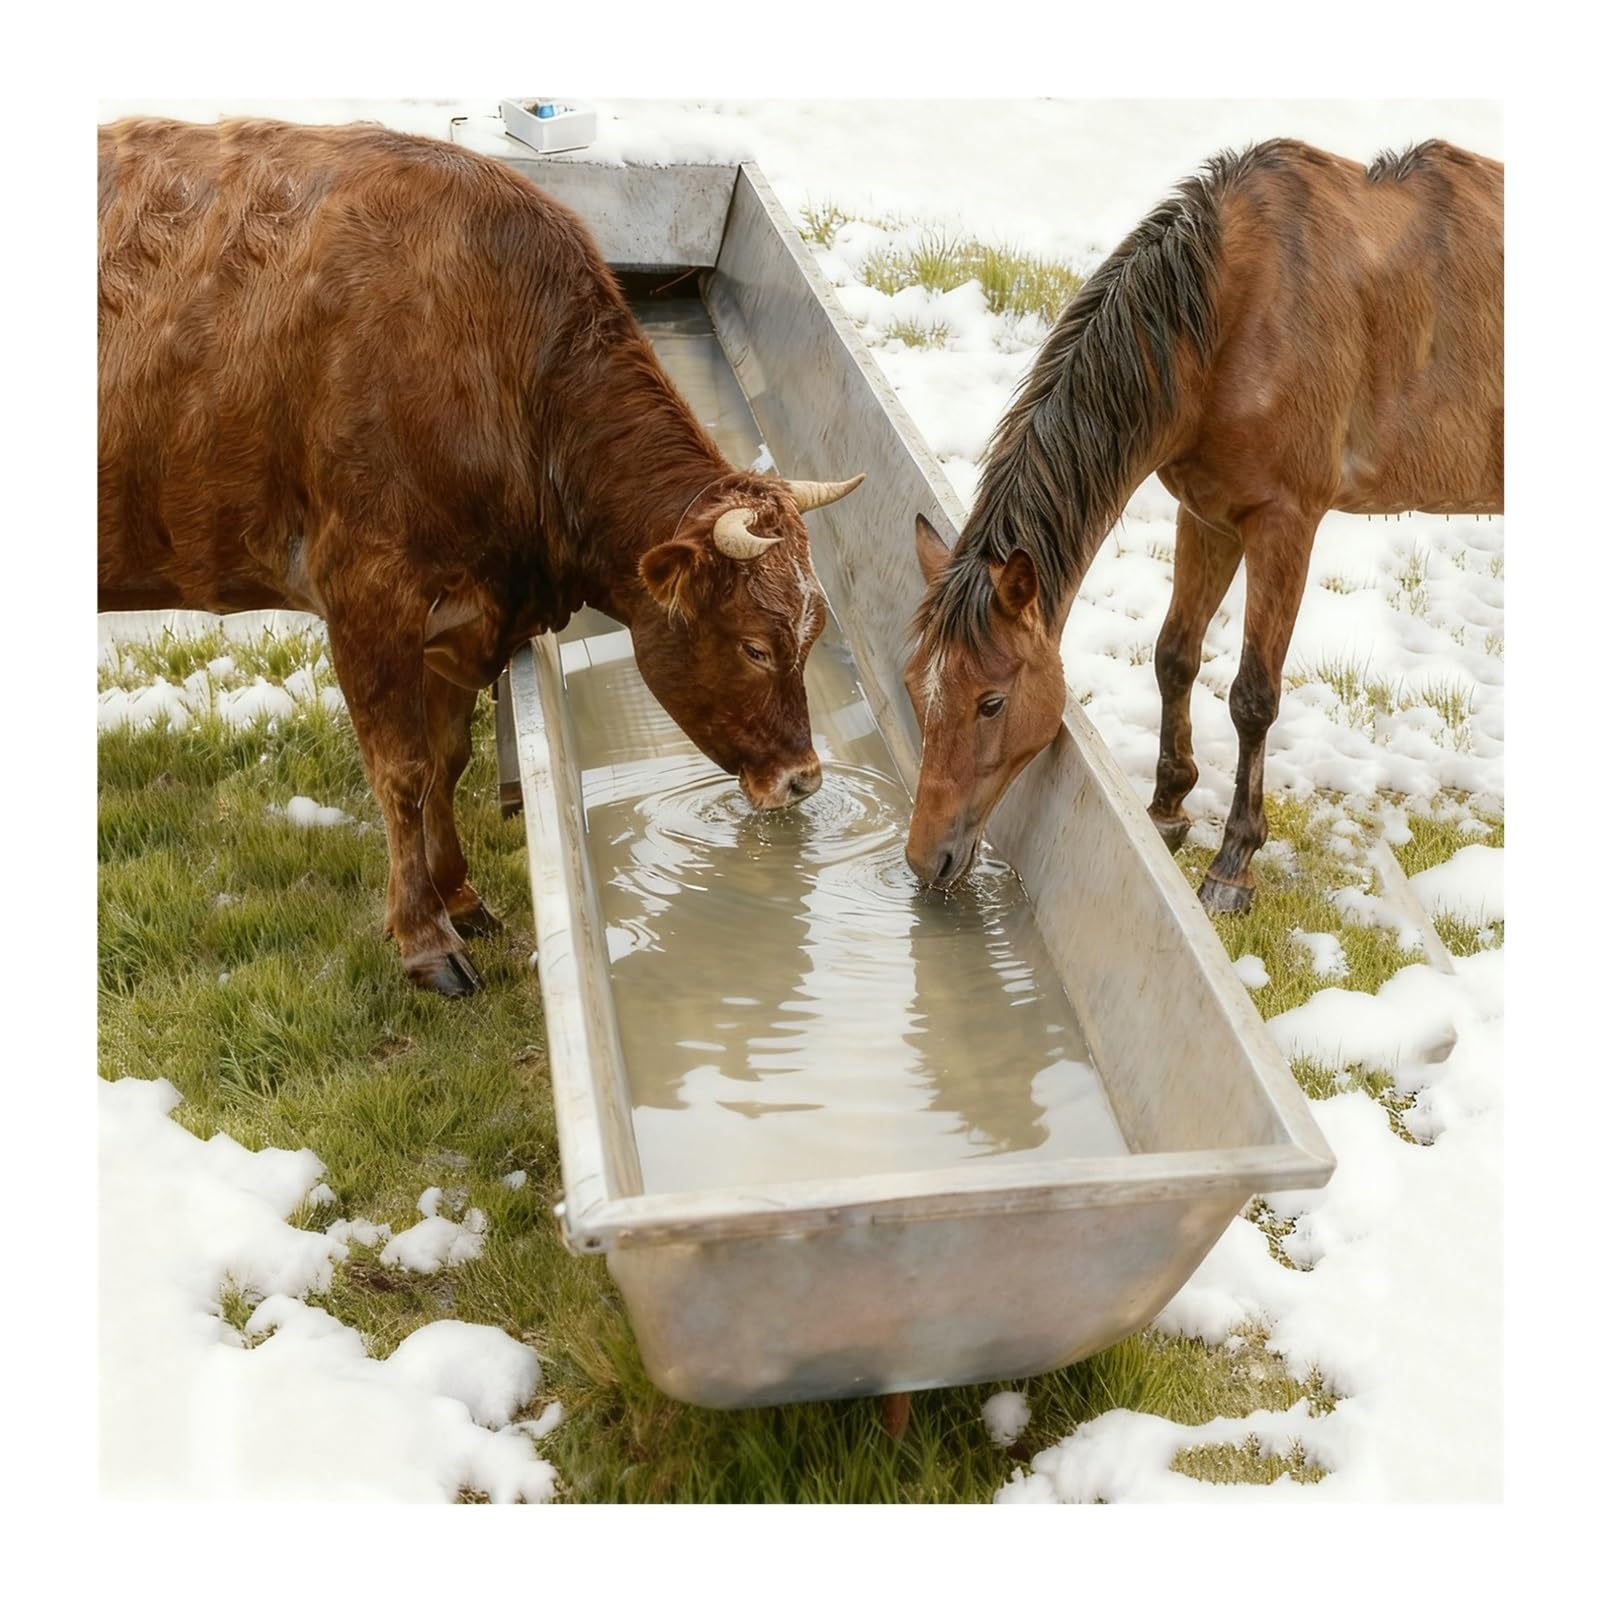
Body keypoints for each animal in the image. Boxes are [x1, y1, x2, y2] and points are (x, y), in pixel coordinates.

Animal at [99, 117, 863, 995]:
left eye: (812, 634)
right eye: (754, 645)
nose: (805, 778)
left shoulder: (460, 616)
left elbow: (447, 759)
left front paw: (459, 893)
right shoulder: (368, 597)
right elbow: (401, 770)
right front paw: (425, 938)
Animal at [903, 138, 1502, 912]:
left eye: (991, 702)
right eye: (916, 686)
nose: (926, 859)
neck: (1227, 315)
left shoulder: (1283, 523)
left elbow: (1252, 696)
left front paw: (1232, 862)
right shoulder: (1207, 512)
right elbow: (1174, 656)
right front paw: (1166, 810)